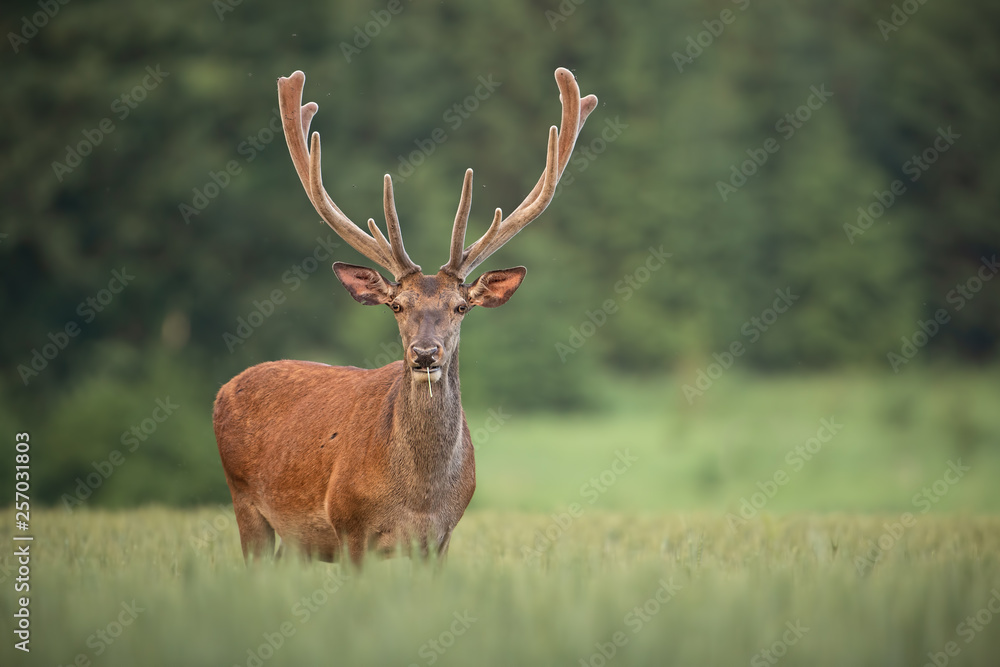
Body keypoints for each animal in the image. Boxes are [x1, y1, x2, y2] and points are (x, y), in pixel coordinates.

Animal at [213, 67, 597, 566]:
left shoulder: (441, 539)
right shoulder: (348, 527)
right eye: (397, 306)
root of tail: (224, 388)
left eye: (461, 307)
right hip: (244, 500)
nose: (425, 353)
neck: (420, 497)